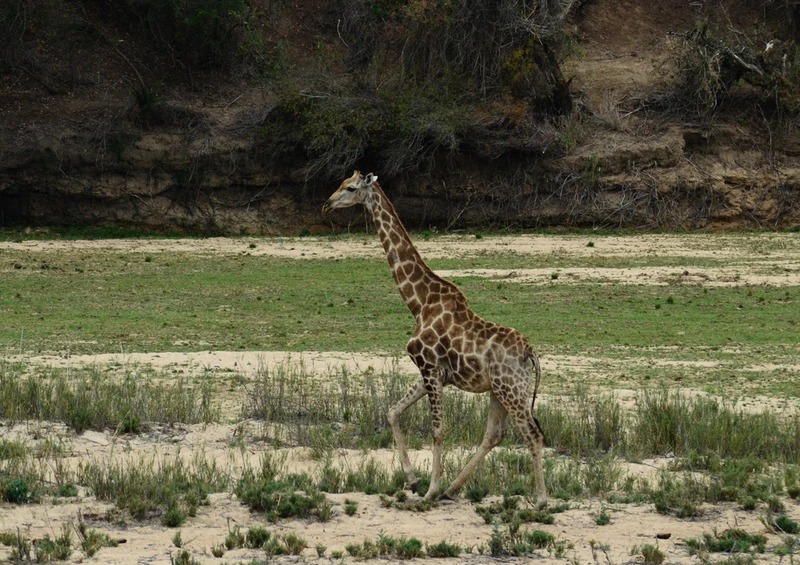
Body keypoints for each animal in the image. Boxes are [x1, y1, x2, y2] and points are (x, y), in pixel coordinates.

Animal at [323, 171, 547, 508]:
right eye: (340, 182)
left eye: (350, 188)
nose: (327, 203)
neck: (419, 303)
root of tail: (530, 353)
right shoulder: (433, 373)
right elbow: (392, 412)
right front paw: (414, 480)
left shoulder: (429, 368)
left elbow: (438, 430)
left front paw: (427, 490)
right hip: (499, 391)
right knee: (495, 435)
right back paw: (452, 489)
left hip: (512, 391)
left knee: (532, 434)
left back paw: (541, 499)